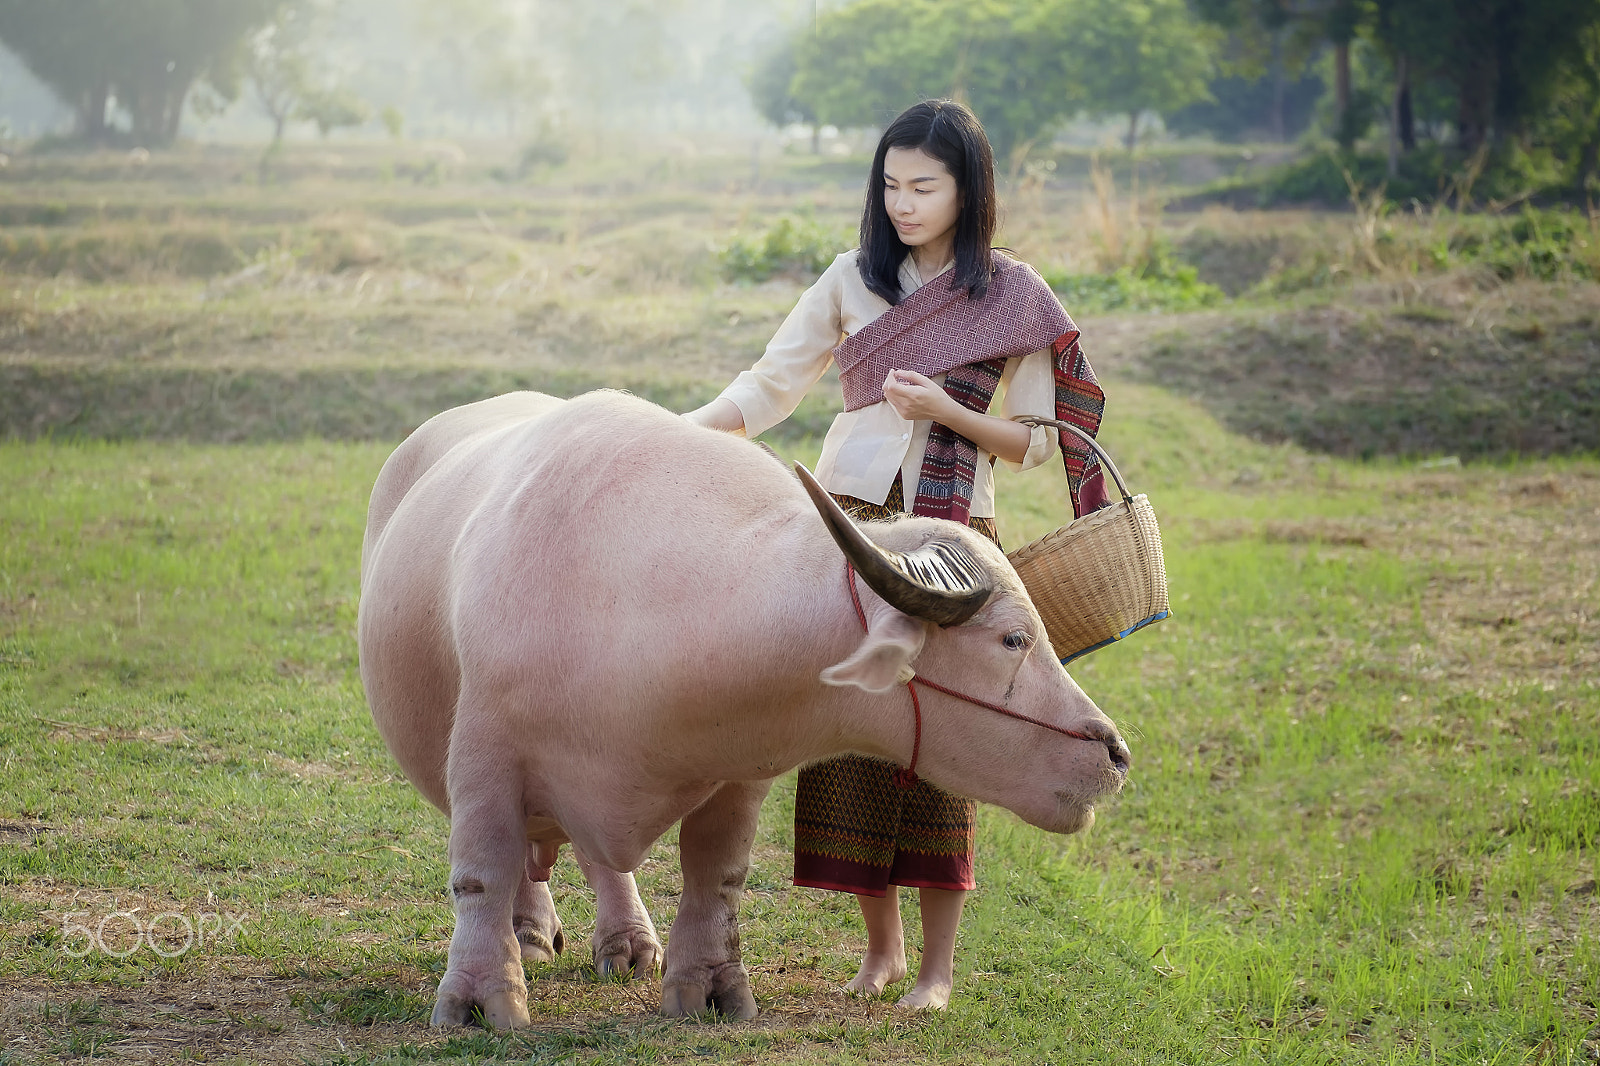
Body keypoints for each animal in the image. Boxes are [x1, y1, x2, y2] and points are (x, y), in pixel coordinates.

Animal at [356, 388, 1132, 1024]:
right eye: (1013, 638)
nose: (1117, 753)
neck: (645, 602)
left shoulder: (734, 777)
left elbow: (717, 878)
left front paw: (709, 986)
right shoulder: (483, 758)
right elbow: (482, 870)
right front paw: (479, 997)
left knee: (599, 858)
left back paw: (628, 943)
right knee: (524, 862)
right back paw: (530, 933)